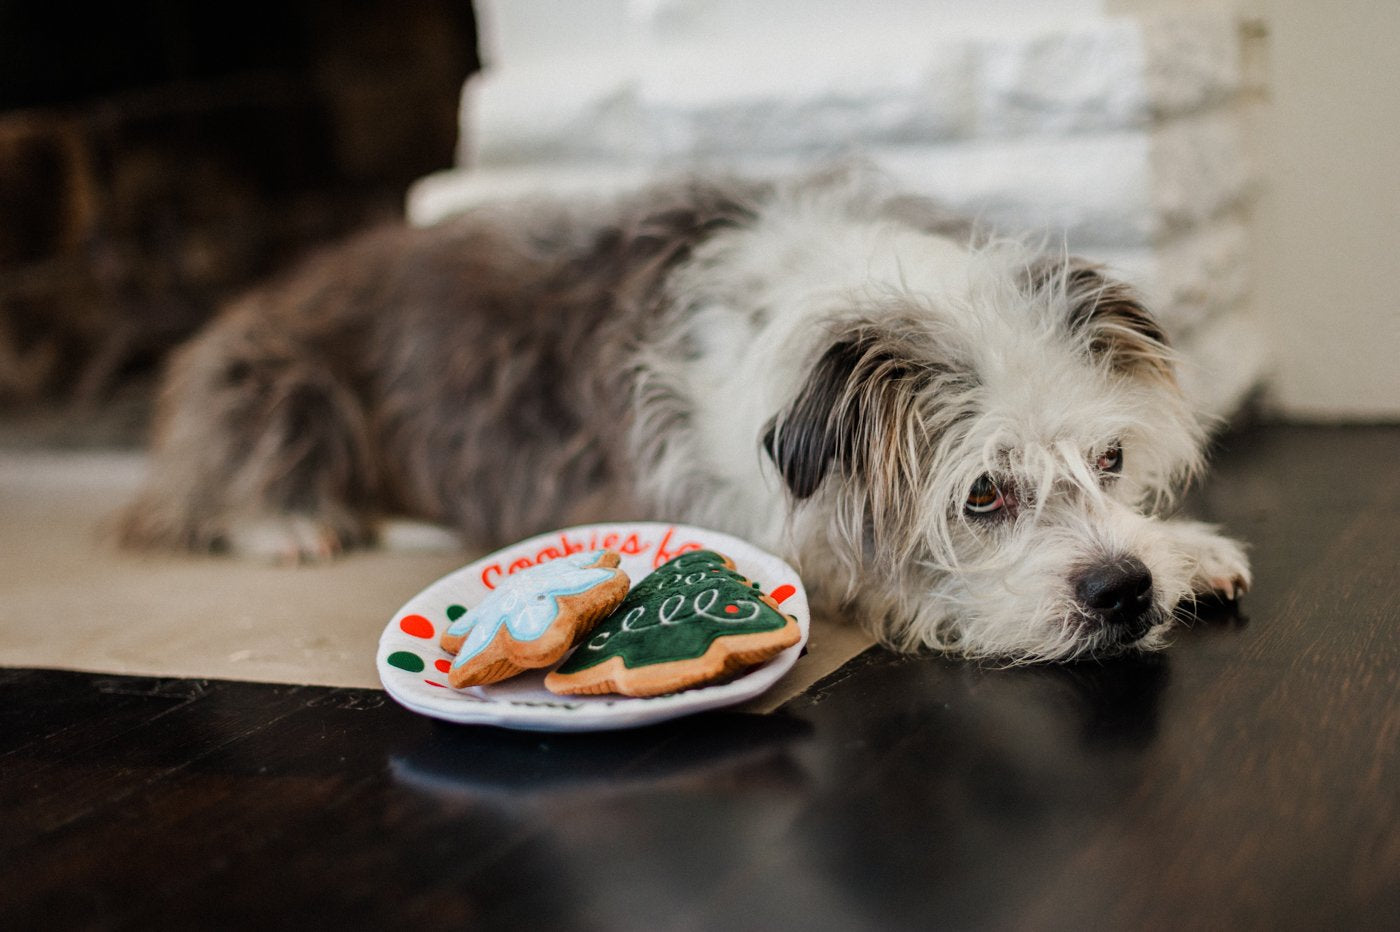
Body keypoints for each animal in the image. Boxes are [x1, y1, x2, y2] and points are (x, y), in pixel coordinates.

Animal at [126, 167, 1254, 660]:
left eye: (1109, 459)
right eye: (982, 493)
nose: (1125, 589)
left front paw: (1187, 548)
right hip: (278, 383)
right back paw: (286, 519)